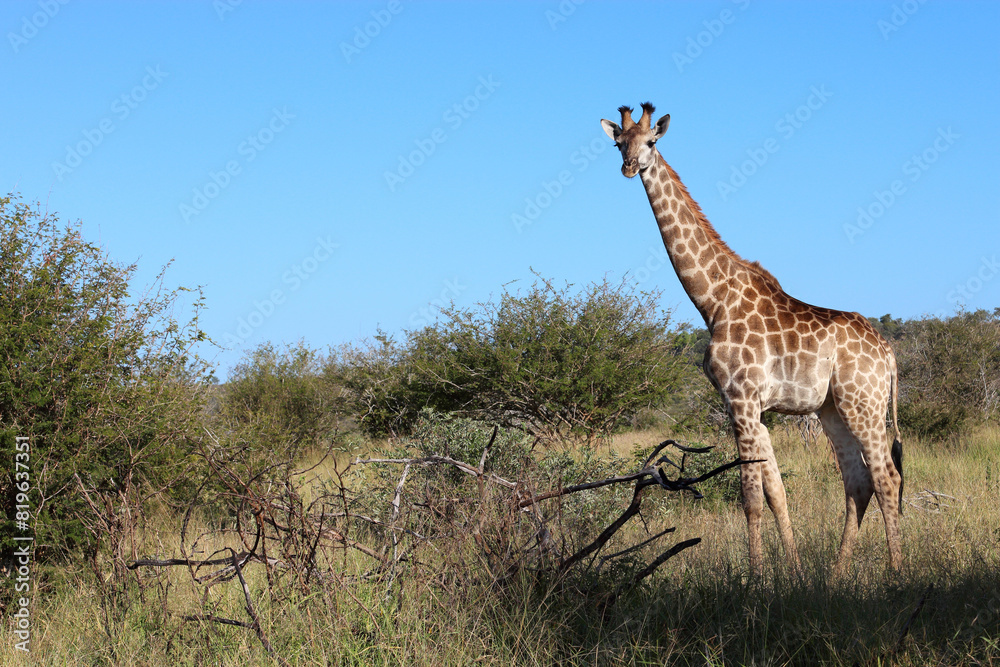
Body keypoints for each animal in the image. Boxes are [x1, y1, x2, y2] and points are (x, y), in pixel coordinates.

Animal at [601, 103, 904, 575]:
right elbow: (776, 492)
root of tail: (888, 353)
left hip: (864, 404)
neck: (713, 300)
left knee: (886, 477)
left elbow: (750, 497)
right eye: (618, 143)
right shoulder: (753, 407)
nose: (630, 167)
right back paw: (837, 575)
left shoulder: (740, 399)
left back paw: (896, 573)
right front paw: (794, 572)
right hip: (832, 409)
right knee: (857, 483)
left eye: (651, 141)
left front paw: (754, 579)